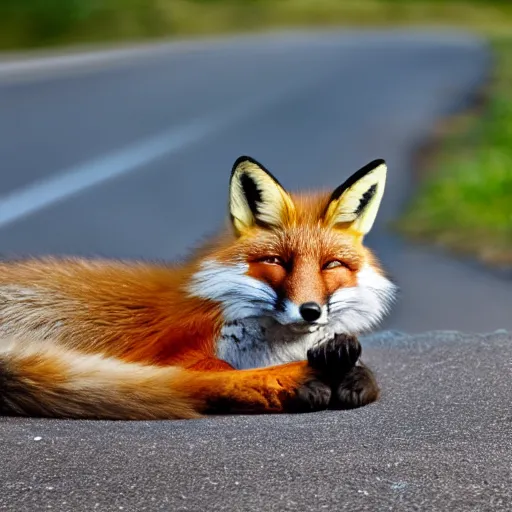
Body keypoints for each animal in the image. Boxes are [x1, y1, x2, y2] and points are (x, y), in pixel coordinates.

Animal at [0, 156, 396, 420]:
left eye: (331, 265)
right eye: (277, 261)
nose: (310, 311)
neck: (272, 350)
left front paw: (348, 367)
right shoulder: (175, 350)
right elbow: (214, 370)